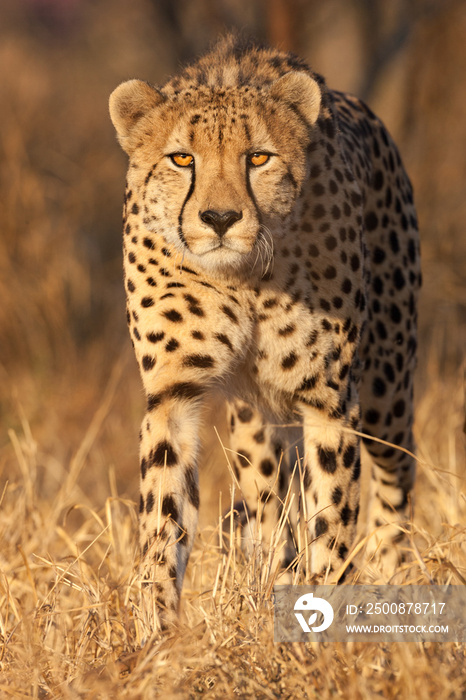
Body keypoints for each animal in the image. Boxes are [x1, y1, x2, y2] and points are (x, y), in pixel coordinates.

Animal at [110, 35, 422, 632]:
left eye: (258, 157)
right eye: (182, 158)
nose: (220, 218)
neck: (244, 279)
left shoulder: (329, 398)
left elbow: (334, 511)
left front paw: (327, 617)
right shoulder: (173, 392)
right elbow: (163, 514)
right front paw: (155, 628)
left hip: (387, 391)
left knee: (398, 473)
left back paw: (391, 571)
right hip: (257, 422)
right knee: (267, 500)